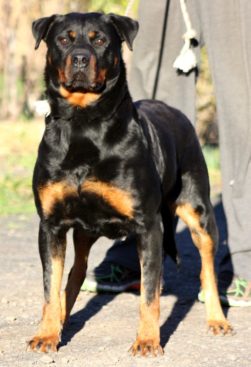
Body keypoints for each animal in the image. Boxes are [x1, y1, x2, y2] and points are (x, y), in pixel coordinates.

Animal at [28, 12, 231, 356]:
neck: (84, 123)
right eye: (64, 39)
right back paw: (65, 316)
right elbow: (49, 286)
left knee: (207, 268)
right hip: (84, 230)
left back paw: (217, 319)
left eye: (99, 40)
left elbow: (149, 294)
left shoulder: (148, 225)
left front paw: (148, 340)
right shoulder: (51, 224)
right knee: (77, 271)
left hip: (198, 210)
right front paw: (47, 333)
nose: (80, 58)